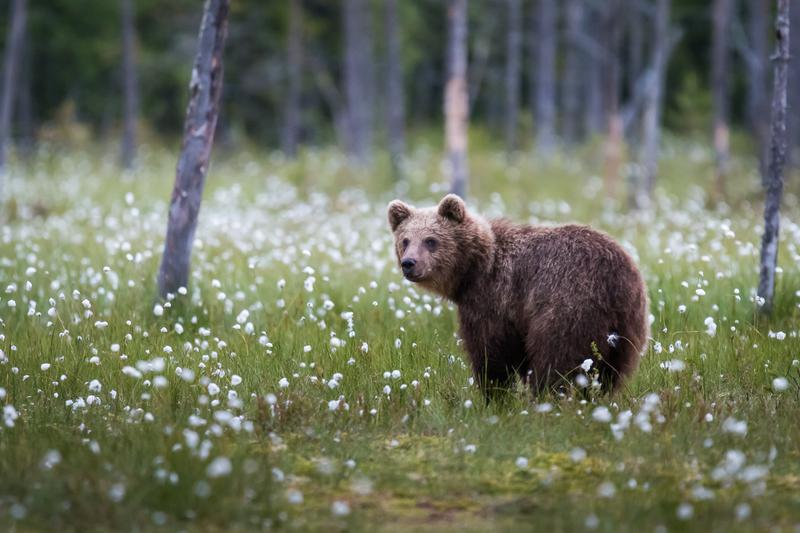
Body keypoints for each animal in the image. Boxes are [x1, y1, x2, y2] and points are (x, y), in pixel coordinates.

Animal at [388, 194, 648, 394]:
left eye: (430, 240)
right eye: (405, 240)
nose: (409, 263)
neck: (474, 269)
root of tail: (617, 278)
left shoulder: (494, 297)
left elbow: (489, 353)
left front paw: (493, 395)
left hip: (569, 306)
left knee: (555, 358)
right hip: (627, 328)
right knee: (610, 373)